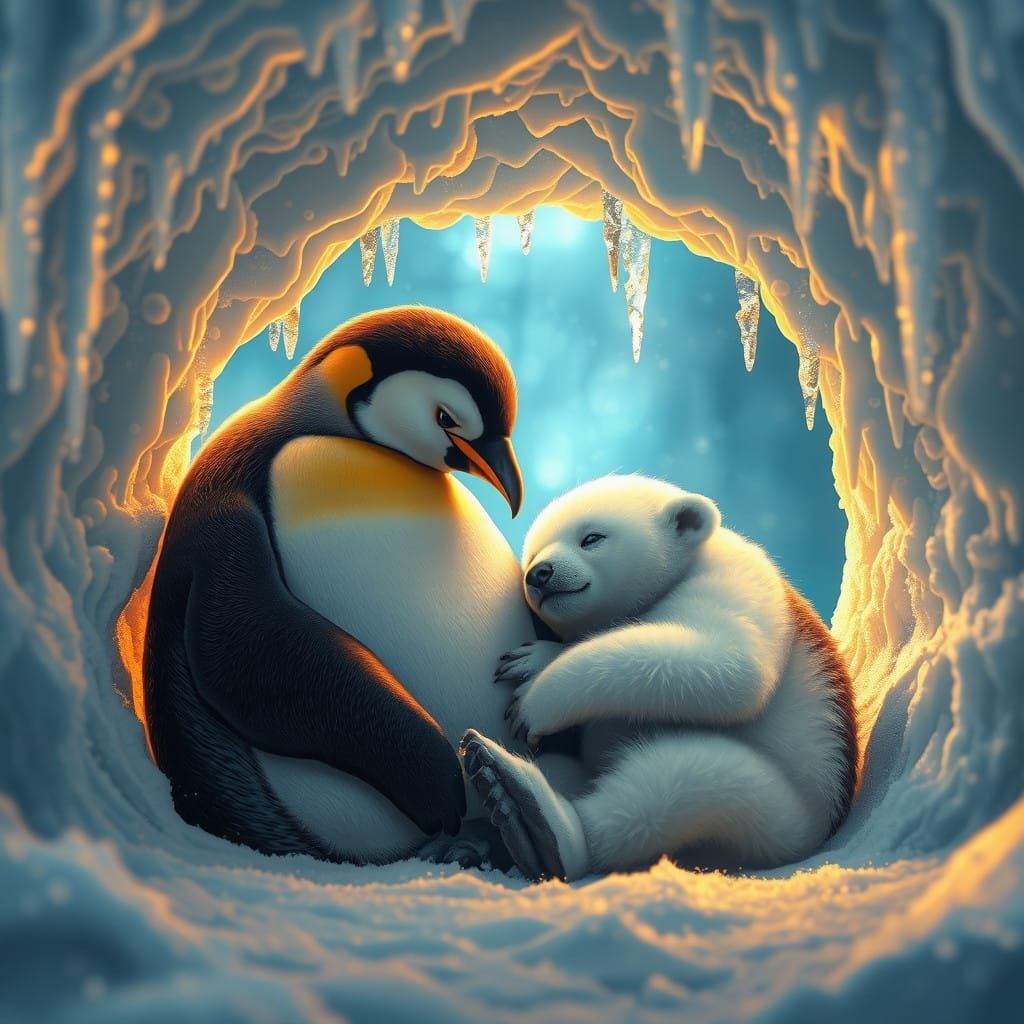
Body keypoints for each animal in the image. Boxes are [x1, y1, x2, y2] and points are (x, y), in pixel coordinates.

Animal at [460, 474, 857, 881]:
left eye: (592, 537)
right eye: (531, 553)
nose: (540, 573)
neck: (685, 565)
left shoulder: (736, 578)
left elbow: (726, 663)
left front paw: (533, 700)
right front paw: (535, 658)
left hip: (785, 814)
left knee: (681, 783)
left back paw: (537, 816)